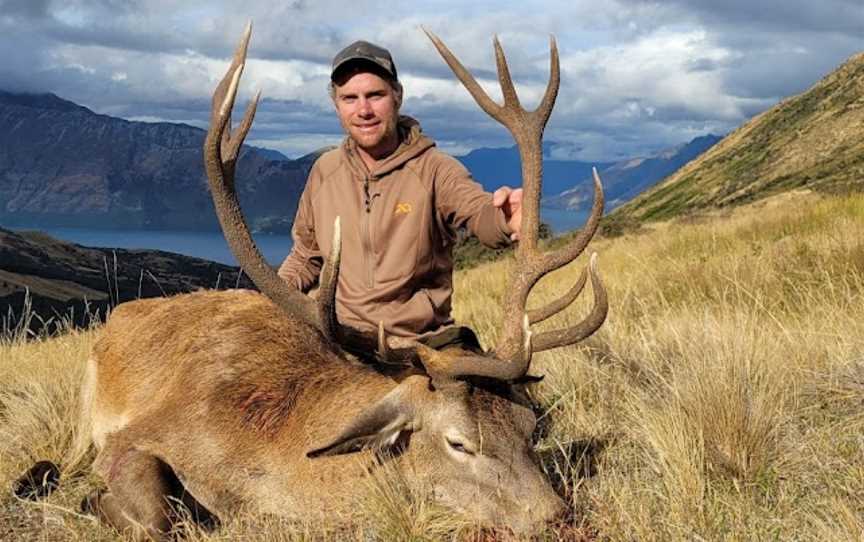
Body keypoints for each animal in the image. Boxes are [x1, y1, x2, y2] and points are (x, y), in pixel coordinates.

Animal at [30, 24, 608, 540]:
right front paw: (94, 501)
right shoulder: (134, 436)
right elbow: (157, 516)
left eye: (530, 426)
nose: (558, 517)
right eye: (459, 443)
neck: (272, 458)